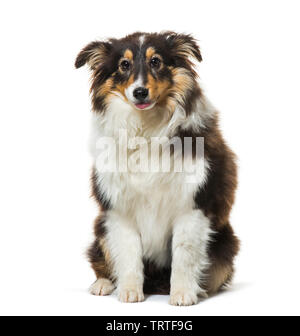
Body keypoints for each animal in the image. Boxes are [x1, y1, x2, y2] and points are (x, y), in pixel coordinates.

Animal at [75, 30, 239, 304]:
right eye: (124, 65)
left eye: (156, 62)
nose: (140, 92)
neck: (146, 128)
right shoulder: (119, 209)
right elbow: (129, 253)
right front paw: (130, 291)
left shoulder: (192, 204)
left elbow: (184, 254)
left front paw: (182, 294)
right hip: (101, 226)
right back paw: (103, 283)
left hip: (225, 243)